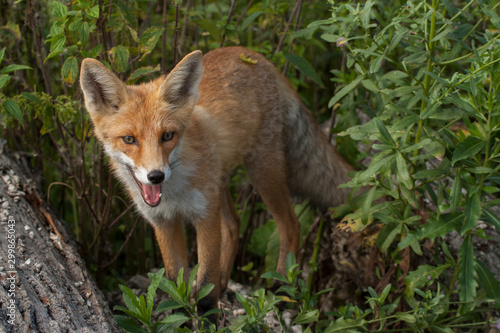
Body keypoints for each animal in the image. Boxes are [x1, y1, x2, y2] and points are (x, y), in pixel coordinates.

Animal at [79, 46, 352, 320]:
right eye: (129, 139)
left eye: (167, 136)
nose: (156, 176)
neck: (174, 191)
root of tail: (253, 56)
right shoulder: (163, 222)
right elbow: (175, 280)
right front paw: (181, 319)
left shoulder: (205, 216)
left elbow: (205, 283)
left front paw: (209, 316)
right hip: (221, 183)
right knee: (234, 225)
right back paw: (225, 283)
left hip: (261, 171)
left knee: (290, 225)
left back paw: (282, 288)